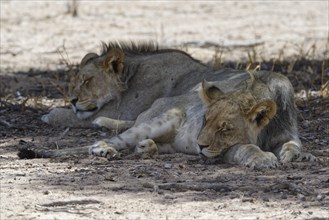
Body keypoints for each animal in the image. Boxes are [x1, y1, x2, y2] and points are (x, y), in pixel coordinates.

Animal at [22, 70, 316, 168]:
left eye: (225, 128)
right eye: (204, 120)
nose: (199, 145)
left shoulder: (288, 134)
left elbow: (294, 145)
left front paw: (300, 156)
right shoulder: (224, 151)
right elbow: (247, 147)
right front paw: (262, 158)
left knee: (157, 146)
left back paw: (147, 148)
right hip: (162, 119)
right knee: (110, 141)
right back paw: (104, 149)